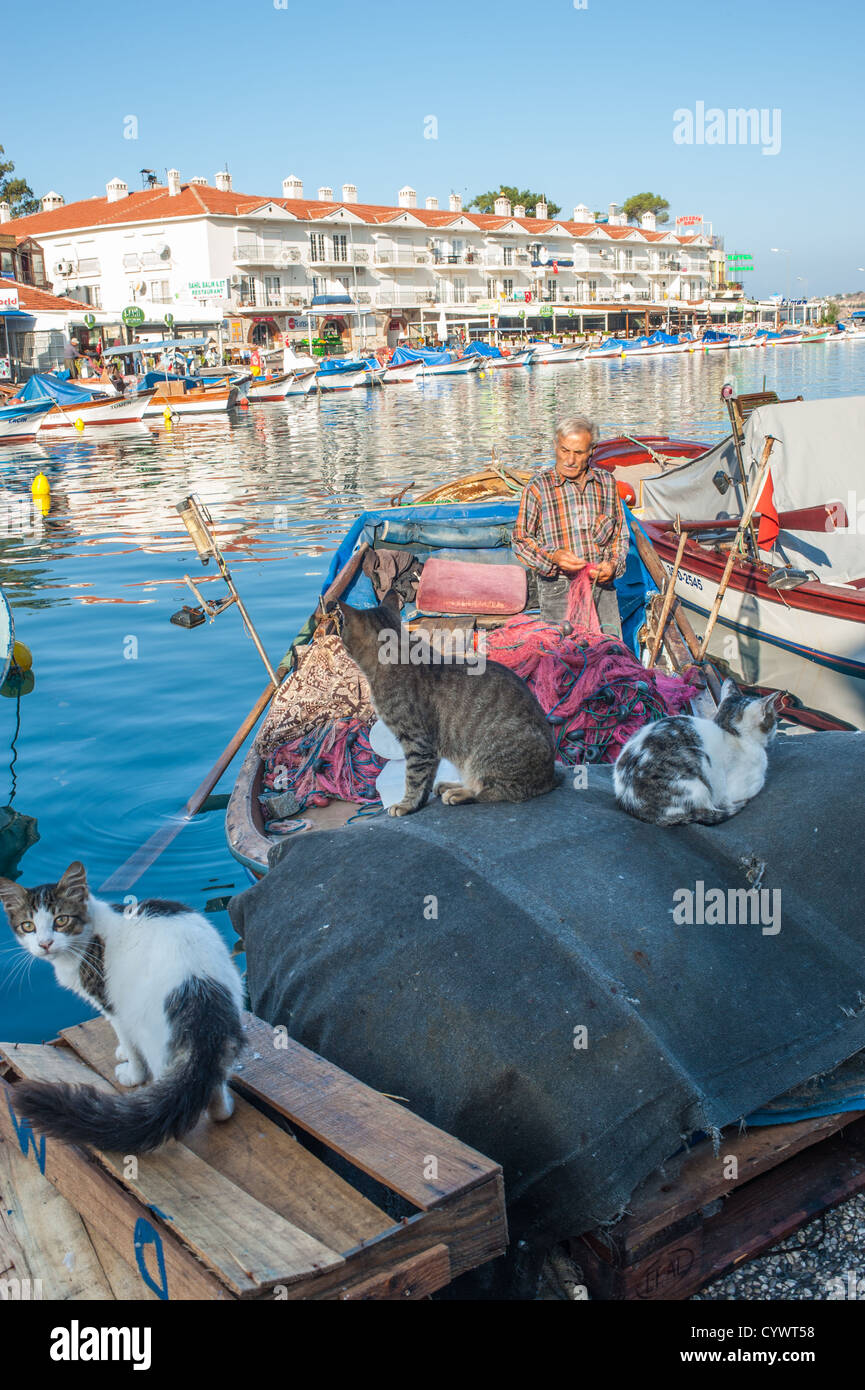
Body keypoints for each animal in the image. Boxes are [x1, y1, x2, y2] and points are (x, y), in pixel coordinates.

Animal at [0, 861, 244, 1156]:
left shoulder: (114, 1006)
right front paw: (122, 1053)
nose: (45, 944)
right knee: (216, 1095)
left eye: (61, 920)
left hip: (146, 1024)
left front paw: (131, 1073)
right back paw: (224, 1107)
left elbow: (129, 1045)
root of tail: (201, 997)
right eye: (28, 926)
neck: (88, 936)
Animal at [335, 597, 559, 811]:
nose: (340, 637)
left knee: (500, 790)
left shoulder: (417, 741)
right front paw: (419, 802)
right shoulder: (430, 747)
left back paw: (460, 794)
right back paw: (451, 786)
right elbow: (426, 777)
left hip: (489, 754)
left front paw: (406, 804)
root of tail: (550, 778)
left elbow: (414, 777)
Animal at [614, 681, 784, 822]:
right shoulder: (742, 787)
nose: (776, 728)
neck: (729, 731)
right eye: (774, 719)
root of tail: (630, 801)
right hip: (695, 769)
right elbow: (757, 785)